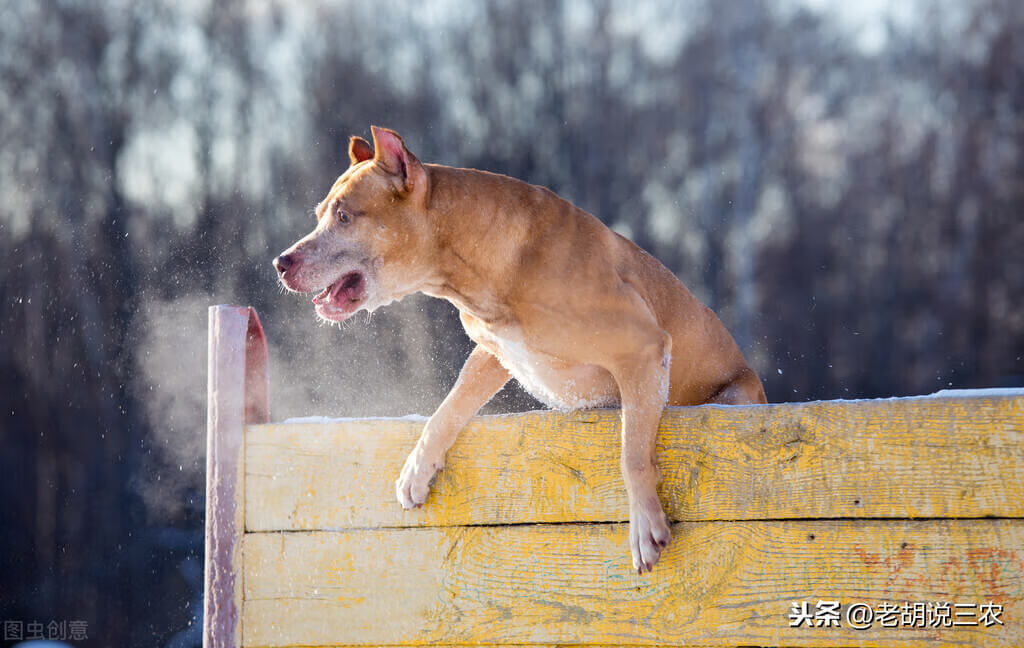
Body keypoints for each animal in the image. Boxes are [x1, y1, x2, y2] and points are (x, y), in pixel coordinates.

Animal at [276, 126, 765, 569]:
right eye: (320, 213)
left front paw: (644, 525)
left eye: (343, 216)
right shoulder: (495, 352)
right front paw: (417, 467)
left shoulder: (642, 349)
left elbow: (632, 452)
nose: (281, 261)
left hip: (737, 394)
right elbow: (448, 408)